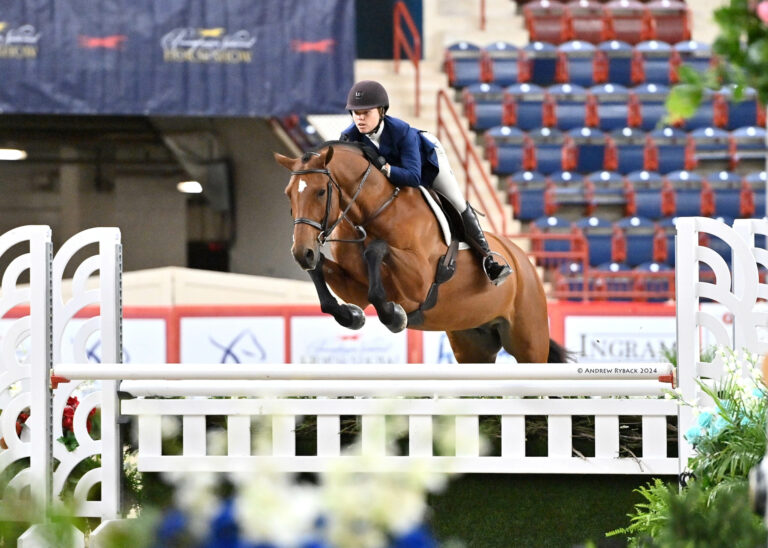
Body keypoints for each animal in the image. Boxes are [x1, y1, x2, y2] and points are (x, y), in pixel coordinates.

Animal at [272, 143, 568, 364]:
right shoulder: (353, 288)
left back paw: (496, 267)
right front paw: (351, 316)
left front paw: (394, 316)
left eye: (321, 192)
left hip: (529, 342)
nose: (302, 252)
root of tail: (524, 260)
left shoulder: (419, 282)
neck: (372, 212)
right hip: (473, 342)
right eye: (288, 194)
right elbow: (325, 276)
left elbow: (376, 250)